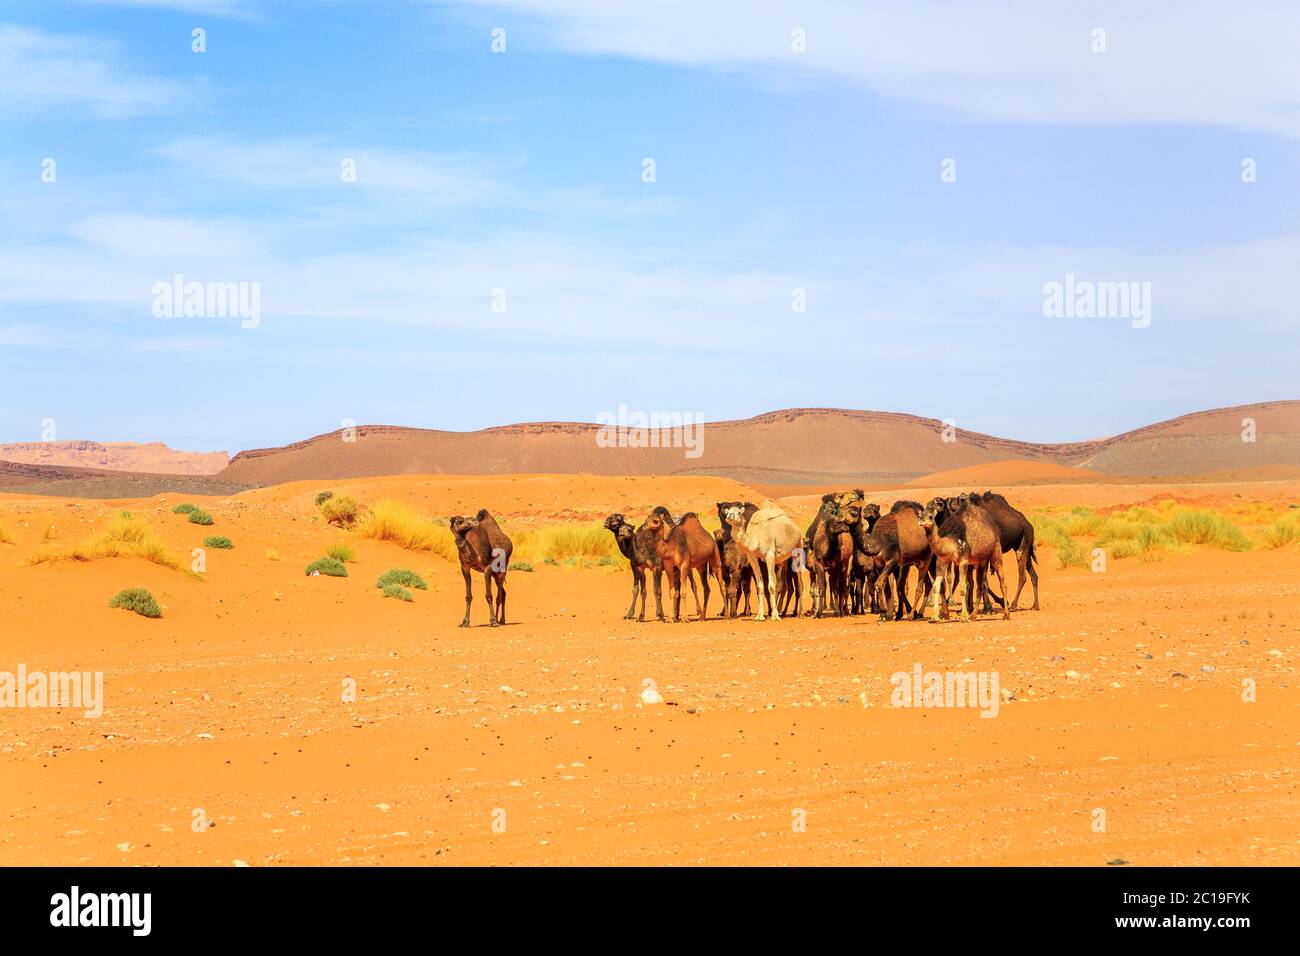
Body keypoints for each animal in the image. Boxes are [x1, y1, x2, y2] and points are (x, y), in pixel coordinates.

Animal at [722, 496, 800, 624]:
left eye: (738, 513)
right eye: (727, 512)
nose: (729, 517)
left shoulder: (769, 555)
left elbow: (771, 587)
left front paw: (774, 616)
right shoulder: (753, 558)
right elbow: (760, 587)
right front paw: (760, 615)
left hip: (797, 550)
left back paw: (798, 613)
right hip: (781, 561)